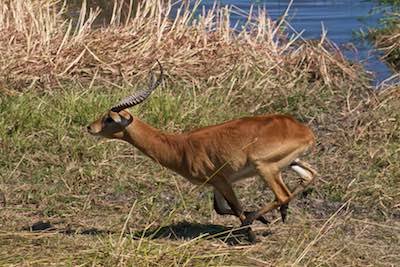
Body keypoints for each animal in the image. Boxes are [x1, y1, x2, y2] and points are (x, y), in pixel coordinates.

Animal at [86, 61, 318, 245]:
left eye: (109, 118)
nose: (90, 127)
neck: (180, 147)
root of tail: (303, 131)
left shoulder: (221, 180)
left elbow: (236, 207)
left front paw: (251, 234)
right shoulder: (218, 183)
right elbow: (221, 208)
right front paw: (259, 223)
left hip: (264, 167)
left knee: (283, 194)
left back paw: (256, 218)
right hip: (291, 162)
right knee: (309, 176)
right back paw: (281, 213)